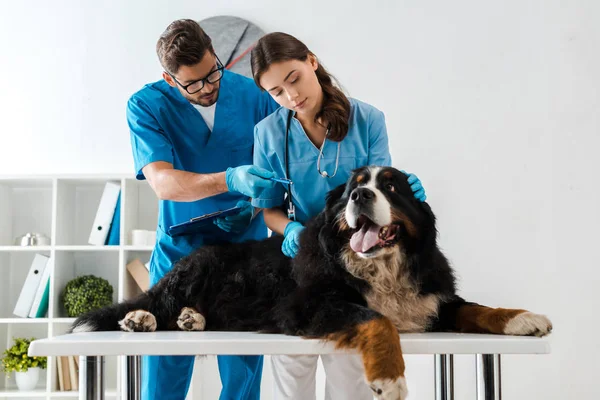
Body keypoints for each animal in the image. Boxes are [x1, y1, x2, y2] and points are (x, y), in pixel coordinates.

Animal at [70, 165, 552, 396]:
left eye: (393, 187)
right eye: (354, 185)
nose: (359, 195)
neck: (384, 268)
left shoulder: (434, 297)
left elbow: (476, 307)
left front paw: (523, 318)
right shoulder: (309, 305)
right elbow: (376, 320)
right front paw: (390, 377)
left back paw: (192, 320)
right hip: (196, 267)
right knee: (158, 301)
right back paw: (140, 320)